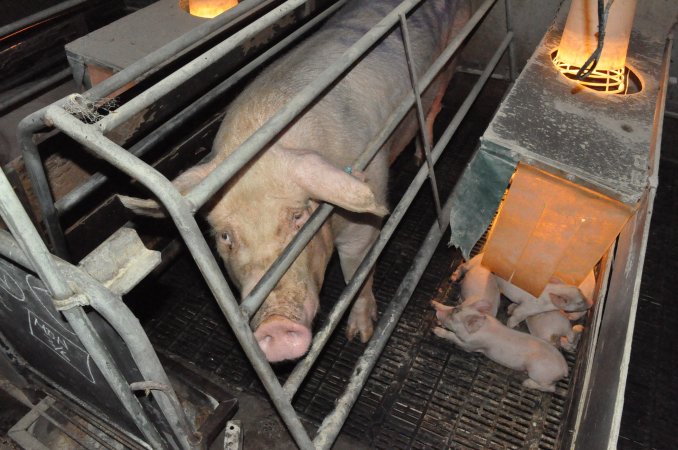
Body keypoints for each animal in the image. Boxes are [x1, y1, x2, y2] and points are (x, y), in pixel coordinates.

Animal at [125, 0, 470, 360]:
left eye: (298, 216)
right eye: (225, 236)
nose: (275, 326)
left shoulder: (363, 216)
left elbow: (357, 273)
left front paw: (359, 336)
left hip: (451, 57)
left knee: (434, 107)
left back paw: (421, 154)